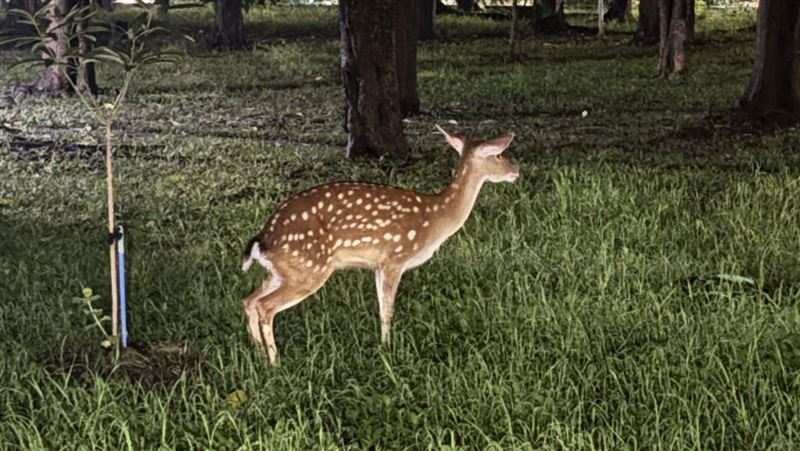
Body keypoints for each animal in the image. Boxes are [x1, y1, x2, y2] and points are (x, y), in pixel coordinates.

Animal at [241, 125, 519, 365]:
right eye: (498, 154)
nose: (516, 170)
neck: (435, 218)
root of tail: (262, 240)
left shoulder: (377, 265)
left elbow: (380, 306)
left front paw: (383, 346)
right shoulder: (394, 258)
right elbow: (387, 309)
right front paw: (388, 348)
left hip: (284, 270)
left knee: (249, 300)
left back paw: (260, 356)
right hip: (309, 267)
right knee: (265, 306)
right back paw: (275, 362)